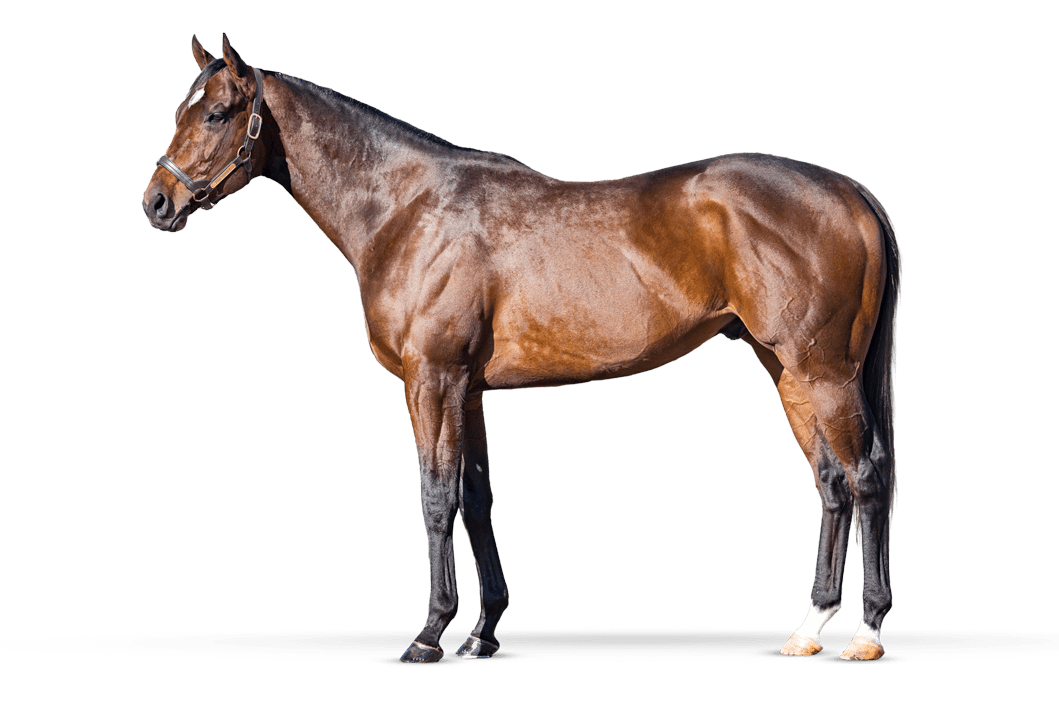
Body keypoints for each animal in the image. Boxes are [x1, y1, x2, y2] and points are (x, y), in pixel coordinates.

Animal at [143, 34, 903, 663]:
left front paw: (429, 635)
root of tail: (848, 190)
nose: (156, 202)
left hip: (824, 370)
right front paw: (482, 634)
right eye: (185, 108)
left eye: (218, 114)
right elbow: (476, 497)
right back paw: (808, 629)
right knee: (831, 482)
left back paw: (864, 635)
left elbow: (436, 495)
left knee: (865, 476)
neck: (407, 207)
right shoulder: (469, 389)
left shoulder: (431, 379)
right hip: (788, 370)